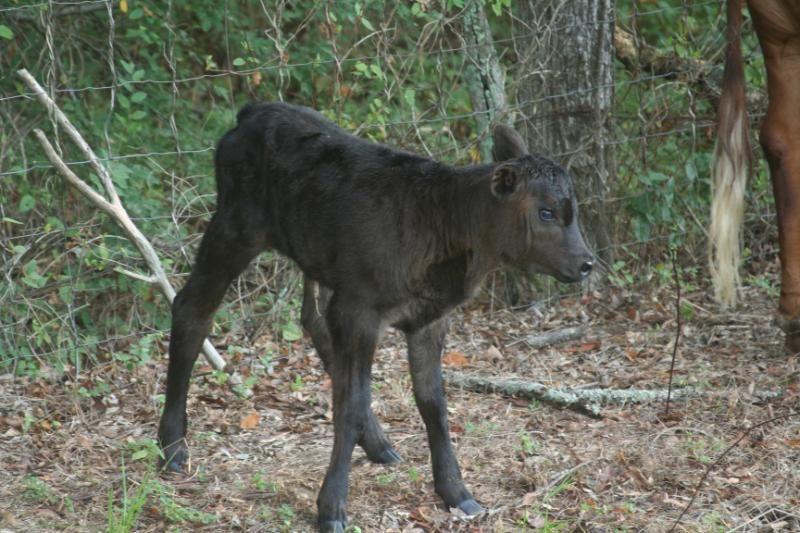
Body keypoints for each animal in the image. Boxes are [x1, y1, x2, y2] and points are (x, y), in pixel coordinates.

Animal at [157, 102, 594, 532]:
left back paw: (379, 444)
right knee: (192, 310)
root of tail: (257, 110)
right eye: (546, 212)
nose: (587, 263)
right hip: (235, 227)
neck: (445, 225)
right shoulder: (360, 309)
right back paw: (172, 447)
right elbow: (348, 406)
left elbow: (433, 403)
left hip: (319, 260)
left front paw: (456, 491)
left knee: (312, 320)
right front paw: (331, 509)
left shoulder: (429, 319)